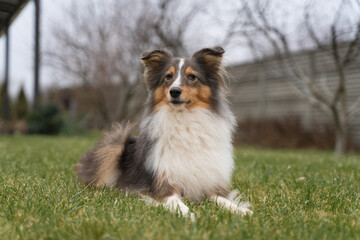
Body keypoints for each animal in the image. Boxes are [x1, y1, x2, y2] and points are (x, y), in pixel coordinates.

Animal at [76, 46, 253, 218]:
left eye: (192, 76)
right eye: (168, 76)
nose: (174, 91)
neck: (184, 122)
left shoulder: (208, 185)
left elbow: (223, 200)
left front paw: (241, 211)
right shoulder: (162, 185)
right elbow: (174, 201)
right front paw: (187, 214)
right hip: (115, 144)